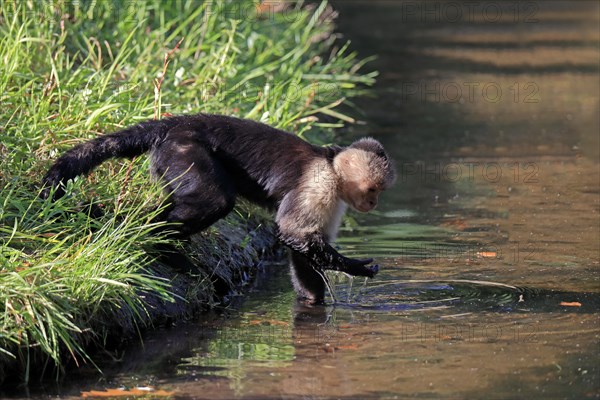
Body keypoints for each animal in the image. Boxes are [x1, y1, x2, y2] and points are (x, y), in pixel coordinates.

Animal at [43, 114, 398, 304]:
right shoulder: (320, 183)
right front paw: (356, 267)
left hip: (169, 161)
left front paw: (312, 300)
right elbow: (291, 230)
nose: (373, 204)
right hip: (184, 151)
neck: (332, 165)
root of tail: (173, 125)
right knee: (216, 200)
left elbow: (301, 245)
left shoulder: (336, 198)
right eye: (373, 190)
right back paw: (160, 244)